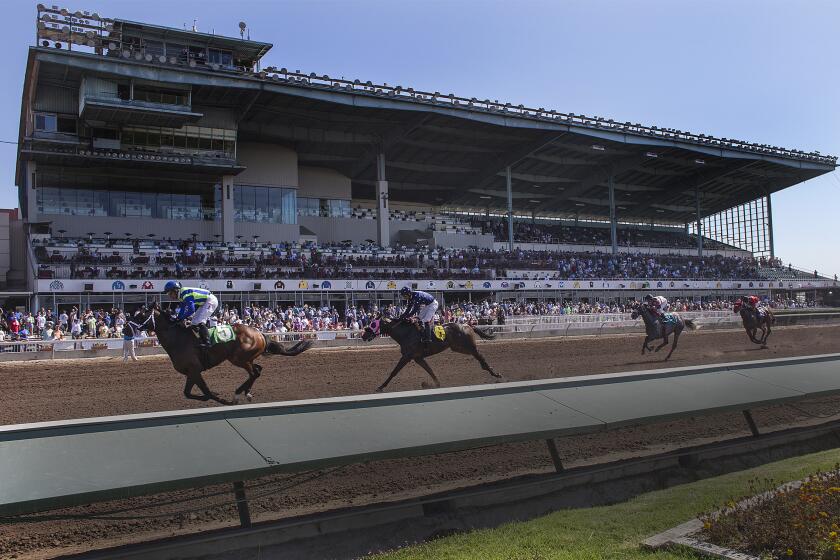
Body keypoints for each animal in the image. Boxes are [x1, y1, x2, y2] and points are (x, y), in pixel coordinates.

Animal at [135, 304, 312, 404]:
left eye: (141, 315)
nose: (129, 327)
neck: (178, 339)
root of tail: (259, 333)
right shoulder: (191, 372)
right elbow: (189, 393)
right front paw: (214, 395)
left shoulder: (194, 370)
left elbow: (204, 392)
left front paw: (219, 397)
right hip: (246, 358)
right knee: (257, 370)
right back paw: (246, 392)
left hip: (239, 359)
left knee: (254, 373)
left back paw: (238, 394)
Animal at [360, 316, 502, 394]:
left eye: (373, 324)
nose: (363, 335)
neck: (406, 333)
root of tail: (468, 324)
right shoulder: (418, 358)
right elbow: (430, 370)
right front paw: (435, 384)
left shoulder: (407, 356)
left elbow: (394, 372)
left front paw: (380, 387)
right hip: (457, 347)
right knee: (478, 356)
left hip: (467, 346)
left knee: (480, 356)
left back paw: (495, 373)